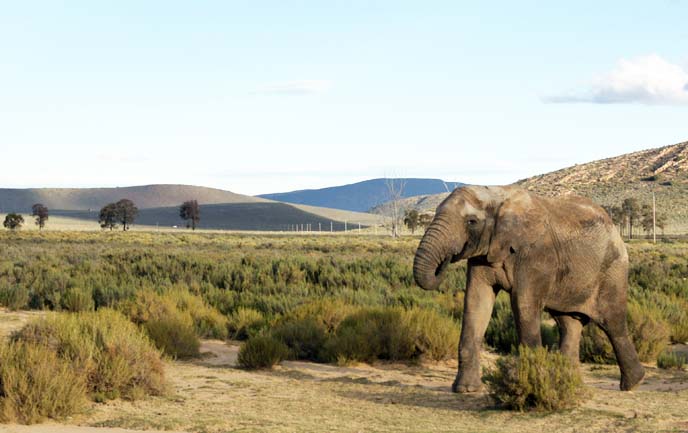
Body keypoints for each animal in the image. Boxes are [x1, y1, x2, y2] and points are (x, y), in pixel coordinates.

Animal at [414, 185, 644, 392]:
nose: (447, 259)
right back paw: (570, 385)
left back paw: (633, 384)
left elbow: (523, 305)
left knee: (612, 323)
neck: (495, 194)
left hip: (613, 270)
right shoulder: (483, 255)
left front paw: (532, 385)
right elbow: (476, 302)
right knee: (568, 324)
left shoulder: (536, 255)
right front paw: (465, 390)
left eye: (471, 222)